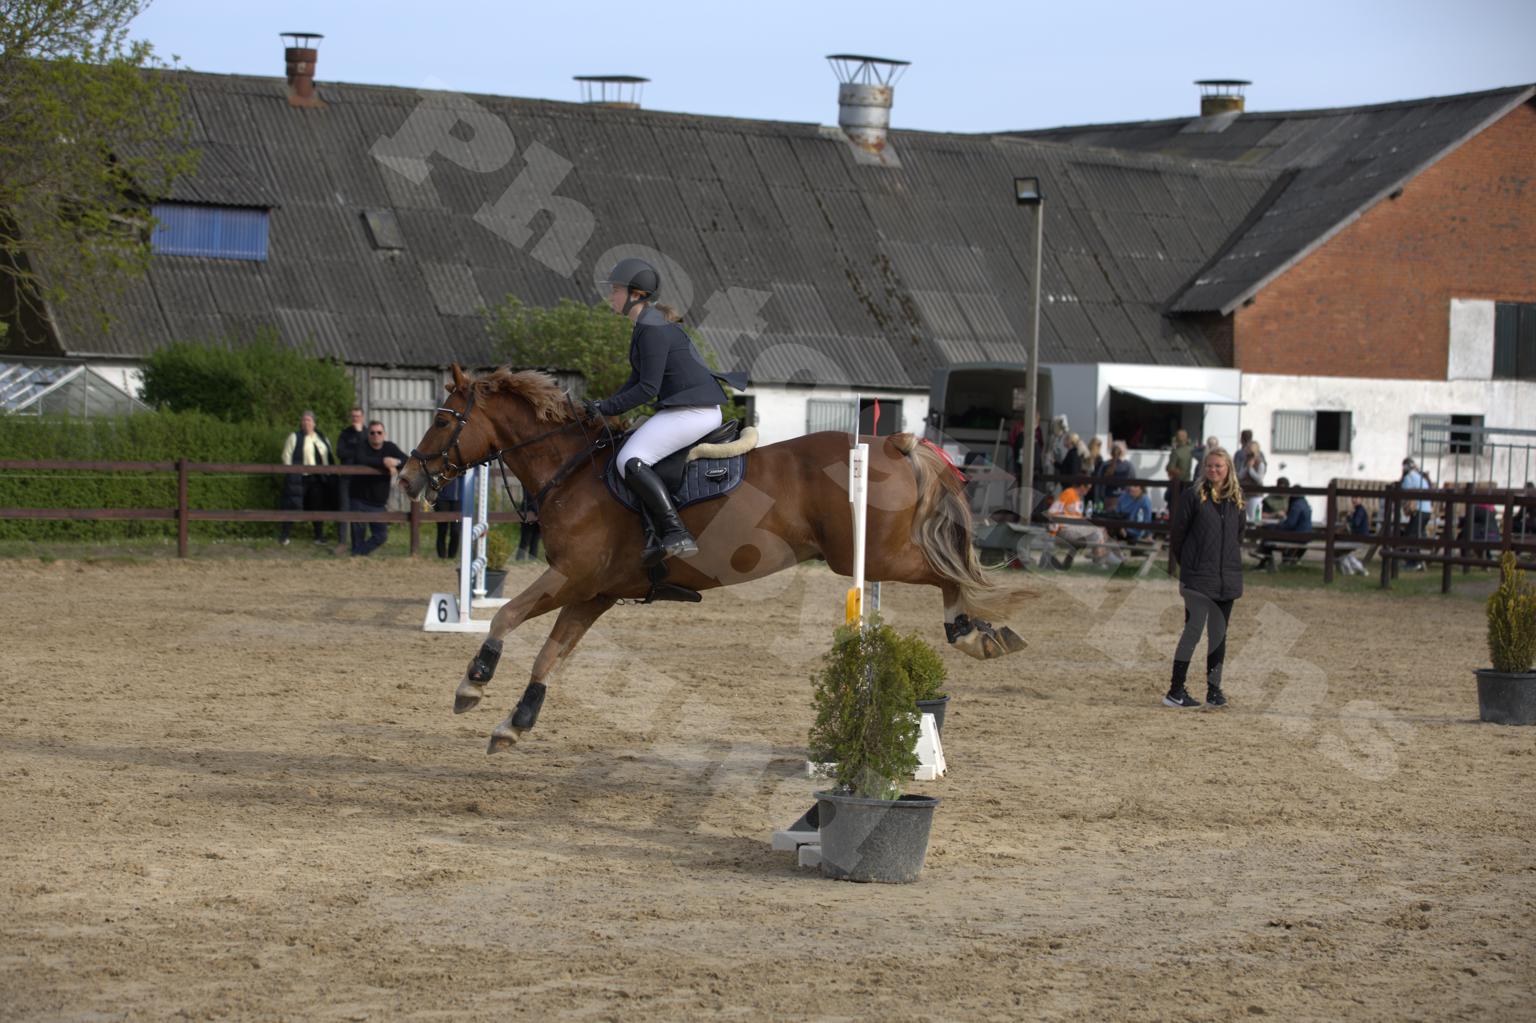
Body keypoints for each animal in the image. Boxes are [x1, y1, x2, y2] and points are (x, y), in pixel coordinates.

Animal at [398, 365, 1027, 754]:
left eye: (442, 419)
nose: (407, 478)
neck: (571, 469)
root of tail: (893, 441)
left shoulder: (570, 577)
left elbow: (505, 616)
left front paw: (473, 684)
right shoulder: (593, 593)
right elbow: (550, 655)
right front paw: (515, 722)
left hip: (871, 557)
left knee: (946, 572)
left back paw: (972, 632)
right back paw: (982, 633)